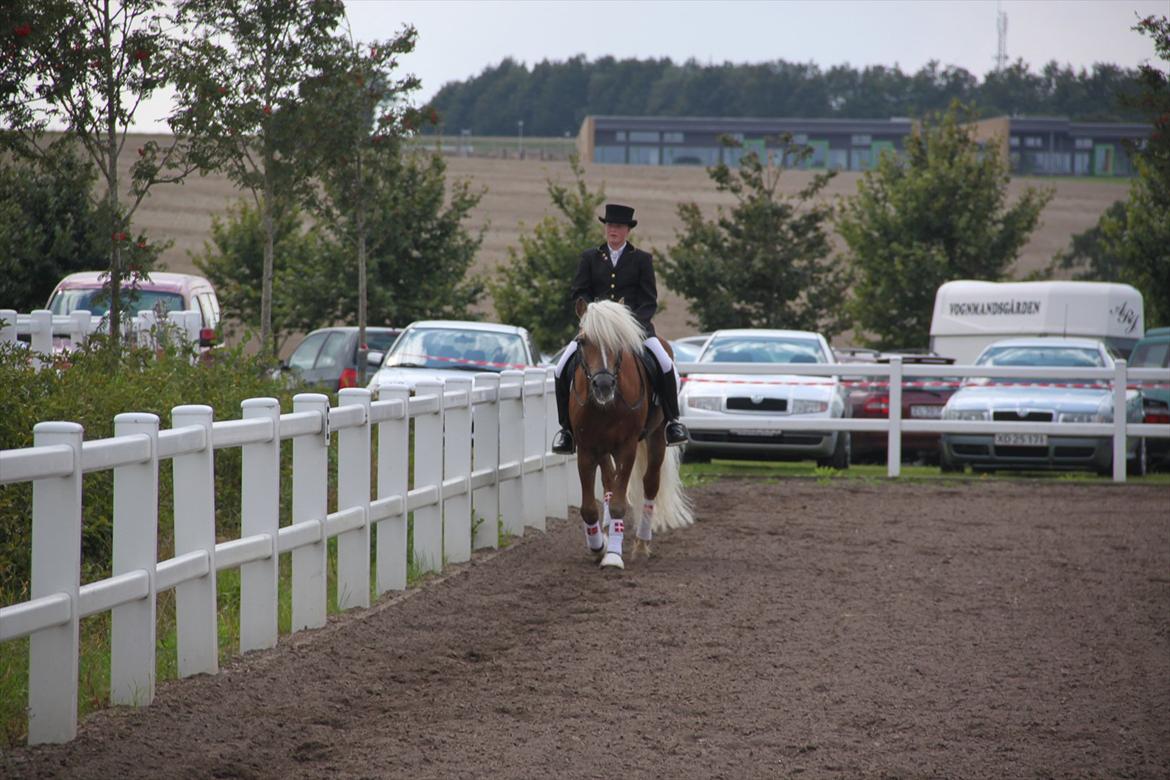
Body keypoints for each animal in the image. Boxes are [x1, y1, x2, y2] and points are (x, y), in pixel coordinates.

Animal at [568, 295, 687, 570]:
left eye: (619, 340)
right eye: (582, 341)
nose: (603, 385)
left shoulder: (627, 447)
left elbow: (620, 505)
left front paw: (613, 556)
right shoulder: (587, 448)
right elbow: (589, 507)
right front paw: (598, 546)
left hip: (656, 438)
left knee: (650, 484)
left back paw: (642, 543)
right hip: (603, 448)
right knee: (609, 481)